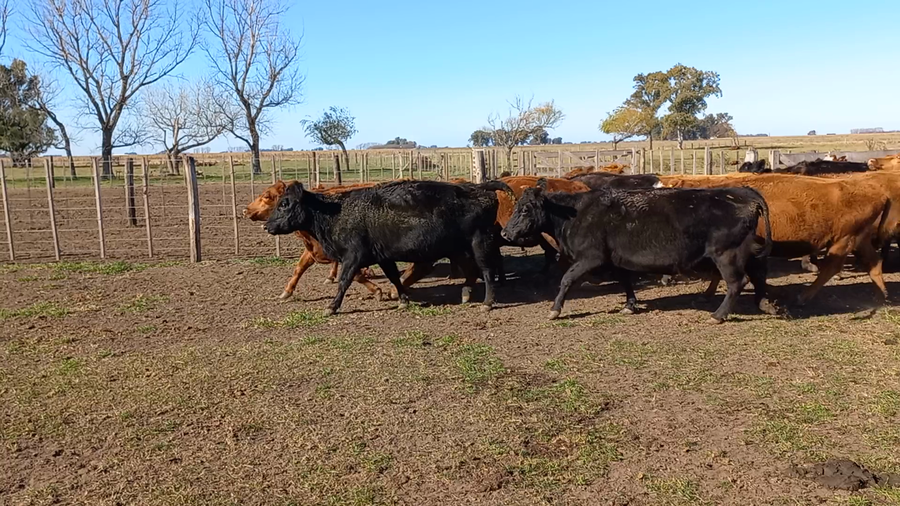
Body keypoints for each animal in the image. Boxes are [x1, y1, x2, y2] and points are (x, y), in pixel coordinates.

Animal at [264, 180, 506, 315]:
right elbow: (394, 277)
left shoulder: (352, 256)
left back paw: (487, 303)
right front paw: (402, 300)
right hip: (460, 249)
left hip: (479, 244)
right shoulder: (383, 256)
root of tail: (479, 189)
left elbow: (344, 280)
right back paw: (466, 294)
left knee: (487, 271)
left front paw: (332, 307)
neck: (336, 212)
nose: (267, 226)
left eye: (284, 204)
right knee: (471, 271)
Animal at [500, 184, 773, 323]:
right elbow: (625, 281)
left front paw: (555, 309)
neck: (574, 213)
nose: (505, 233)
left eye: (525, 209)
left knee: (737, 282)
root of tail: (742, 193)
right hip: (744, 251)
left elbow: (566, 279)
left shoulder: (591, 257)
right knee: (757, 274)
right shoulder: (616, 260)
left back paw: (718, 315)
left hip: (727, 254)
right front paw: (630, 305)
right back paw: (766, 304)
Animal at [659, 174, 897, 305]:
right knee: (874, 263)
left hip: (843, 241)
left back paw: (804, 297)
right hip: (859, 240)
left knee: (832, 267)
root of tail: (879, 192)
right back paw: (882, 295)